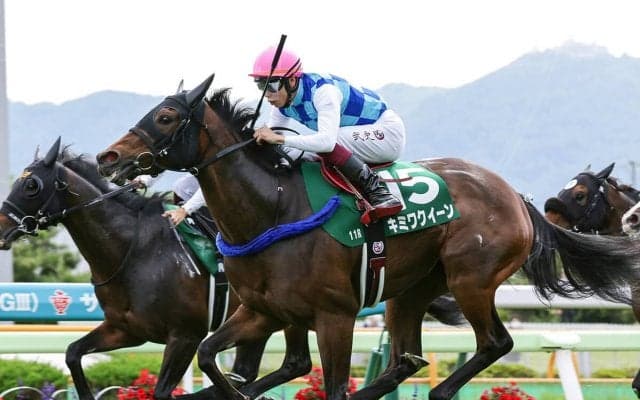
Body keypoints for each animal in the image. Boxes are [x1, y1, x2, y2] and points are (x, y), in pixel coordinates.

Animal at [0, 140, 464, 400]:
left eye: (31, 185)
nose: (2, 227)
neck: (136, 250)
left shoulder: (184, 334)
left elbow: (165, 388)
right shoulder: (126, 329)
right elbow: (73, 354)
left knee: (269, 369)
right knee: (271, 368)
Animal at [95, 75, 640, 400]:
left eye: (166, 116)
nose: (108, 157)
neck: (274, 208)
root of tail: (515, 195)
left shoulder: (334, 315)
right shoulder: (265, 310)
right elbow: (212, 355)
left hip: (472, 279)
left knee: (495, 342)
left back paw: (442, 390)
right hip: (410, 292)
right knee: (409, 356)